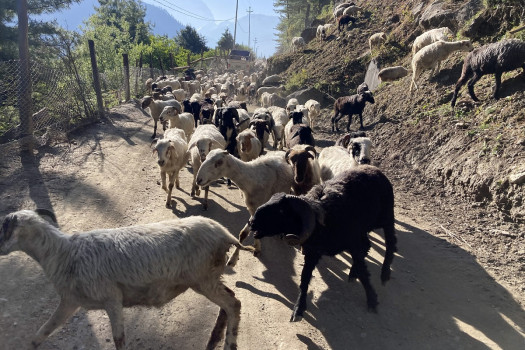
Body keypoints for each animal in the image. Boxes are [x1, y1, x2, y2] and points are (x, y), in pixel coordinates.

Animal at [0, 209, 254, 348]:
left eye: (4, 228)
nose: (0, 250)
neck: (63, 253)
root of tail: (224, 233)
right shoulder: (71, 302)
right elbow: (41, 333)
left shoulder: (112, 299)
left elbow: (119, 340)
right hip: (207, 278)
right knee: (229, 302)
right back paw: (214, 340)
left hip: (203, 278)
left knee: (234, 304)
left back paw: (229, 344)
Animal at [248, 165, 396, 322]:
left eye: (282, 211)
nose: (252, 222)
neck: (321, 219)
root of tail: (375, 169)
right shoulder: (312, 252)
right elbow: (304, 278)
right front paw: (298, 308)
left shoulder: (353, 243)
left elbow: (364, 274)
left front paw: (372, 301)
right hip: (363, 230)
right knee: (368, 245)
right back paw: (353, 273)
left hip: (386, 218)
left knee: (391, 243)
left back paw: (384, 274)